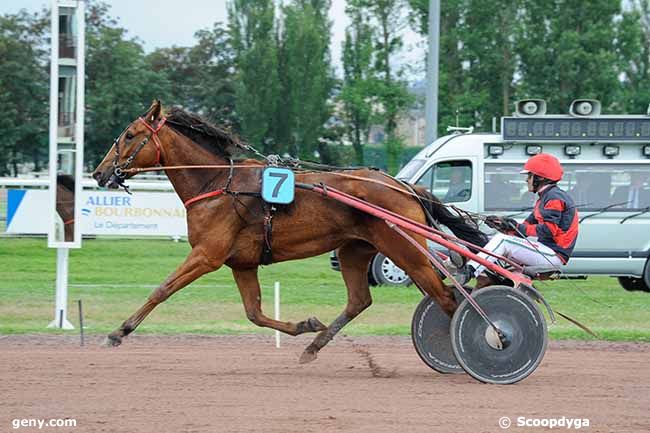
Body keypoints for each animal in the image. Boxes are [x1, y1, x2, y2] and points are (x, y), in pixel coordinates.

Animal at [92, 100, 486, 362]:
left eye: (130, 135)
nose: (99, 172)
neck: (219, 183)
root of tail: (404, 186)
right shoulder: (242, 264)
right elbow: (254, 313)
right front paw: (305, 325)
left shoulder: (207, 255)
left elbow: (162, 289)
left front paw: (118, 332)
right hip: (355, 250)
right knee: (361, 300)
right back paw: (314, 345)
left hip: (406, 252)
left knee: (447, 298)